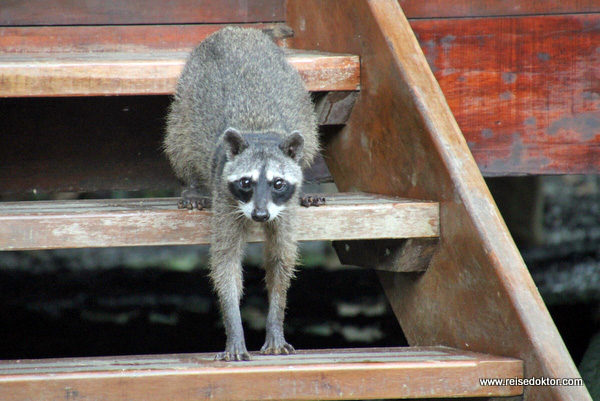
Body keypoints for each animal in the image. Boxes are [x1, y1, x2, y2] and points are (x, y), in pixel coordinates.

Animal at [164, 26, 322, 360]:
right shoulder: (225, 196)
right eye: (246, 182)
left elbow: (281, 259)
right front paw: (234, 327)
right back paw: (192, 184)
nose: (260, 215)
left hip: (298, 94)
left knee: (310, 135)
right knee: (178, 140)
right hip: (186, 98)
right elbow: (225, 260)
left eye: (278, 183)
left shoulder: (284, 208)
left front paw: (276, 321)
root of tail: (235, 30)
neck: (260, 135)